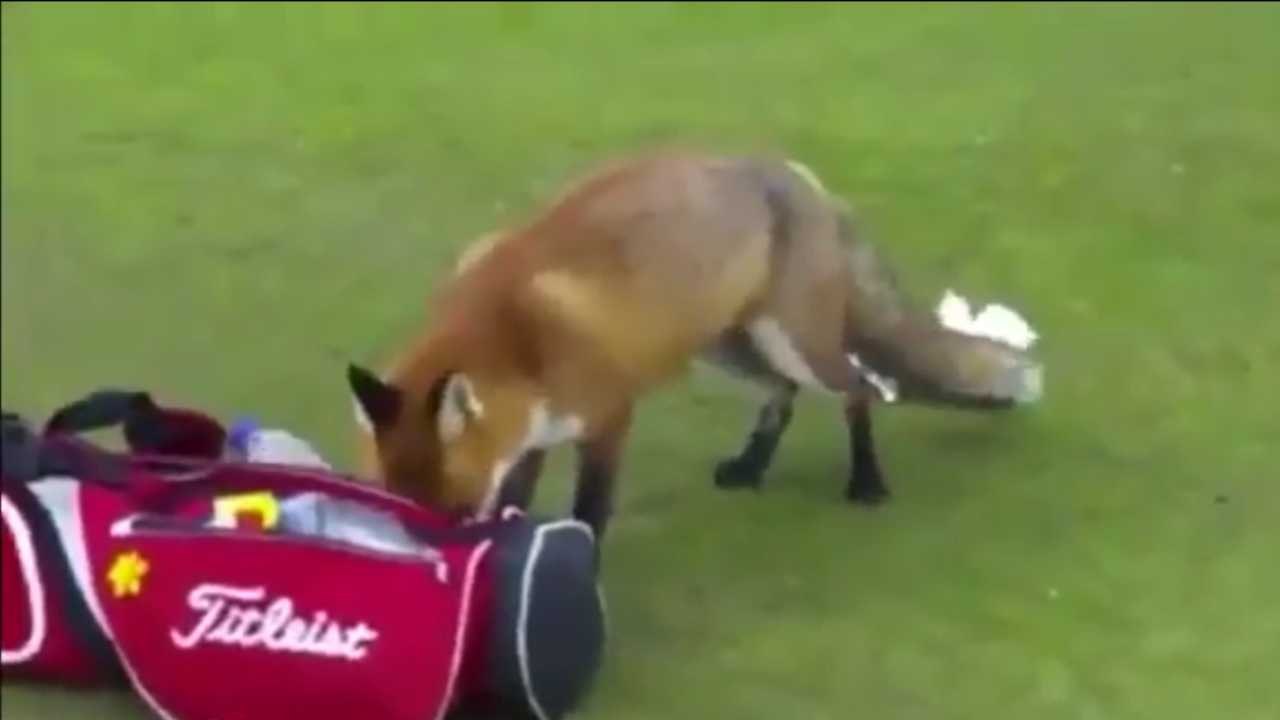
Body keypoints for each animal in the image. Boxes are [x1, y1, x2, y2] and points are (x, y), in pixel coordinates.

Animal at [348, 150, 1043, 539]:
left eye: (457, 510)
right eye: (402, 509)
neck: (516, 334)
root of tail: (801, 177)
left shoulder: (609, 418)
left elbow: (590, 513)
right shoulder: (530, 438)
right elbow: (517, 498)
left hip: (795, 342)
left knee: (858, 388)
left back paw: (866, 481)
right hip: (728, 345)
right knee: (783, 395)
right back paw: (751, 467)